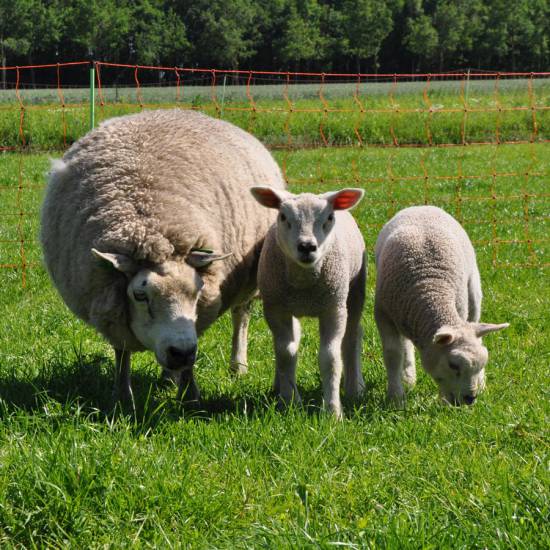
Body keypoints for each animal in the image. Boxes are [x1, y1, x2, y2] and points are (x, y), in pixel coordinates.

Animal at [40, 109, 286, 402]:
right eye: (140, 295)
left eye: (198, 292)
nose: (180, 352)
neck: (148, 226)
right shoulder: (110, 305)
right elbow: (122, 352)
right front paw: (122, 397)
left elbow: (191, 361)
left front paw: (190, 396)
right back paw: (168, 378)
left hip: (251, 279)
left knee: (242, 315)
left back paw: (237, 366)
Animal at [250, 186, 366, 418]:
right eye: (283, 216)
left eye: (329, 217)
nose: (306, 247)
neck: (304, 285)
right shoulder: (276, 309)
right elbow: (286, 353)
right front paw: (289, 403)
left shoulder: (333, 308)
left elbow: (330, 357)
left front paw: (332, 411)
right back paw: (278, 387)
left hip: (354, 292)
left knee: (351, 337)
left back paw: (354, 387)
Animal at [374, 205, 509, 406]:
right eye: (453, 364)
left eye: (483, 362)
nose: (470, 399)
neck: (429, 288)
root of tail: (422, 206)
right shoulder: (384, 314)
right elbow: (392, 355)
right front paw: (396, 397)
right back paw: (408, 377)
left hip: (473, 292)